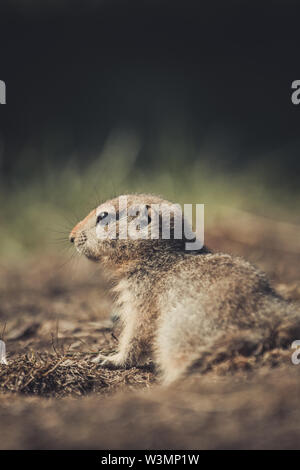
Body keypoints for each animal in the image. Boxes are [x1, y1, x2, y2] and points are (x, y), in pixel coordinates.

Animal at [69, 193, 300, 384]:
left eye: (103, 216)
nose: (71, 236)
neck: (159, 255)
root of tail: (267, 320)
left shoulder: (141, 296)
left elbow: (137, 330)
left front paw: (109, 359)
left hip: (178, 335)